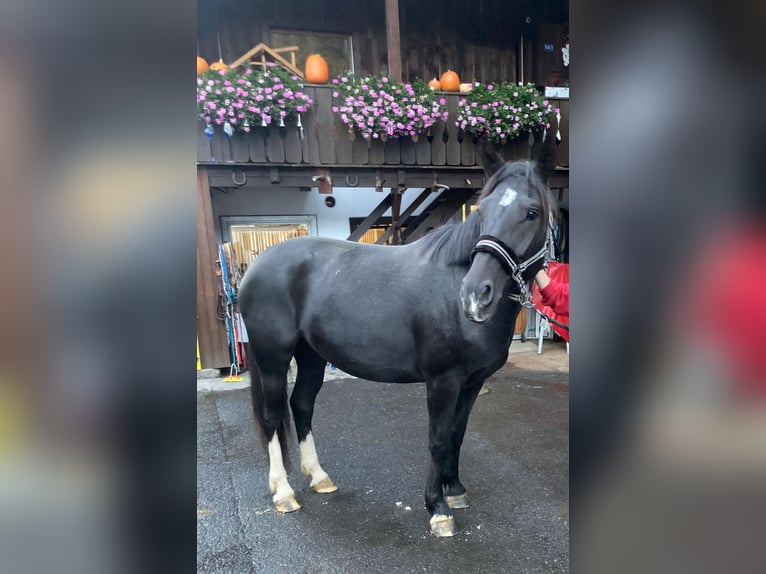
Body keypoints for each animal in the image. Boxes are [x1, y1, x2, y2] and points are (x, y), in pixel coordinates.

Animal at [240, 151, 560, 536]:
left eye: (532, 212)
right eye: (482, 210)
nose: (474, 295)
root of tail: (256, 265)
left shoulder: (472, 382)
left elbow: (457, 433)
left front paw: (454, 490)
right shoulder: (442, 382)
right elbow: (438, 438)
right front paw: (437, 508)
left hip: (312, 356)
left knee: (301, 405)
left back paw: (318, 477)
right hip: (272, 359)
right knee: (273, 417)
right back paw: (284, 492)